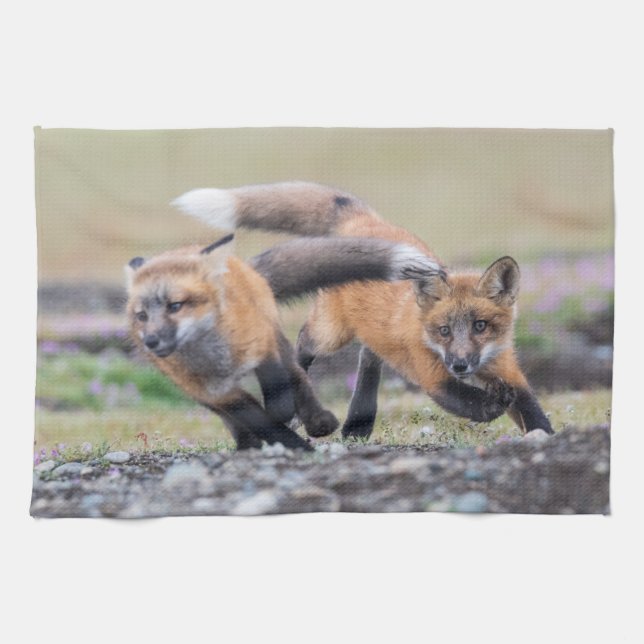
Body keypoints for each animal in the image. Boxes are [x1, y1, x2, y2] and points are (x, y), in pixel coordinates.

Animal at [125, 231, 443, 450]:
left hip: (279, 338)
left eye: (175, 306)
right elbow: (260, 421)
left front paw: (290, 419)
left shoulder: (263, 345)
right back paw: (248, 444)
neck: (217, 358)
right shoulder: (217, 393)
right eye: (141, 315)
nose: (151, 340)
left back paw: (318, 420)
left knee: (298, 374)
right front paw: (292, 445)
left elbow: (278, 391)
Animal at [172, 181, 554, 439]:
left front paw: (545, 437)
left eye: (480, 325)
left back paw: (358, 424)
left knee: (369, 359)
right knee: (303, 343)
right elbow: (470, 401)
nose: (460, 364)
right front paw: (493, 405)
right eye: (443, 330)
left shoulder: (506, 367)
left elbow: (530, 409)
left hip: (371, 334)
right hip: (330, 334)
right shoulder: (433, 375)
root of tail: (363, 222)